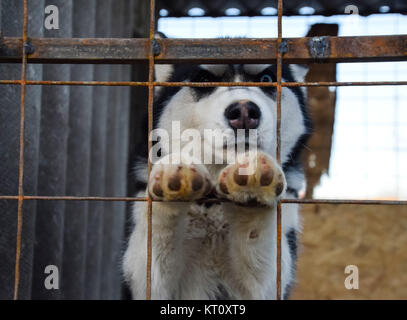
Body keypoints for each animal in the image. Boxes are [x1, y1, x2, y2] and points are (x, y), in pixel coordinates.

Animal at [122, 38, 310, 298]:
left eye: (266, 79)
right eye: (203, 79)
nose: (244, 112)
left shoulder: (269, 283)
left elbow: (258, 240)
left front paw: (253, 184)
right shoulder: (146, 283)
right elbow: (156, 237)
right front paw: (174, 175)